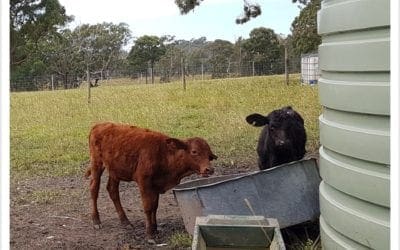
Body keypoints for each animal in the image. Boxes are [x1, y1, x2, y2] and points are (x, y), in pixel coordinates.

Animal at [84, 122, 216, 239]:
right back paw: (96, 220)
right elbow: (148, 207)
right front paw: (149, 233)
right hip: (97, 163)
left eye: (209, 155)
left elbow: (154, 206)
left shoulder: (155, 185)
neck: (164, 154)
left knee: (112, 190)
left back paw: (125, 221)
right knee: (94, 189)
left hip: (114, 170)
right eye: (194, 151)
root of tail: (99, 125)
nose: (209, 169)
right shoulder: (144, 182)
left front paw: (155, 228)